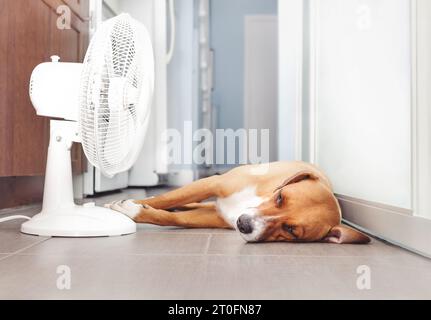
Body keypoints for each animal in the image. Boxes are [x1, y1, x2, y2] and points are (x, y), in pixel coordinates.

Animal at [105, 161, 372, 244]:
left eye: (291, 230)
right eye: (280, 197)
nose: (244, 224)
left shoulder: (212, 217)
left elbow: (172, 216)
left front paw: (137, 210)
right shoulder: (210, 184)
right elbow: (168, 197)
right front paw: (128, 204)